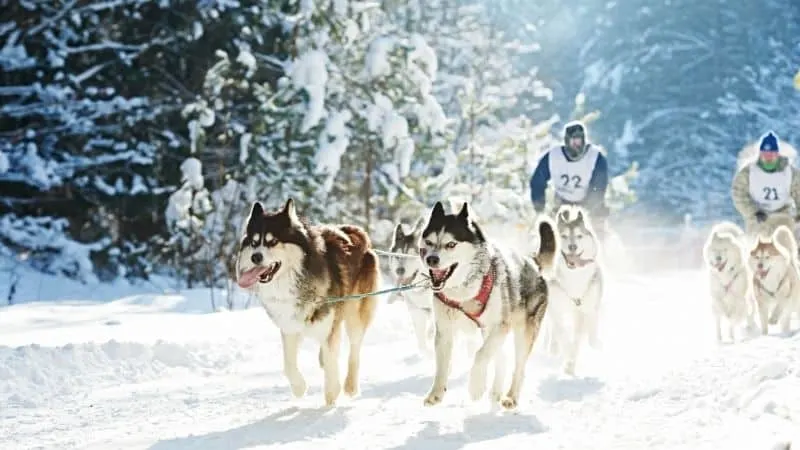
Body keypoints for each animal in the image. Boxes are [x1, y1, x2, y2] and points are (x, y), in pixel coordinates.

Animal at [236, 199, 380, 406]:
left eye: (273, 241)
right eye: (254, 243)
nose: (256, 257)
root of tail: (356, 231)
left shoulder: (329, 326)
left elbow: (332, 361)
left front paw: (331, 395)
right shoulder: (289, 327)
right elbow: (288, 364)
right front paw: (299, 387)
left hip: (355, 313)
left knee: (355, 348)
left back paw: (350, 385)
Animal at [418, 200, 556, 408]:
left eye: (451, 244)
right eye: (429, 242)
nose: (431, 259)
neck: (463, 292)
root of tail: (533, 263)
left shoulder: (500, 326)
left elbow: (480, 355)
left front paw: (476, 386)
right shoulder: (444, 331)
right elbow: (442, 365)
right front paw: (436, 393)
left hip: (522, 332)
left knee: (518, 366)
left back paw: (511, 396)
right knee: (502, 358)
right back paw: (496, 391)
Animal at [544, 206, 608, 374]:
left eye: (579, 236)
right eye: (563, 236)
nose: (572, 247)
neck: (573, 277)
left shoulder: (582, 311)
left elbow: (578, 337)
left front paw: (571, 363)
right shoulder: (555, 308)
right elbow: (562, 334)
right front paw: (568, 357)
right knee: (552, 329)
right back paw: (553, 347)